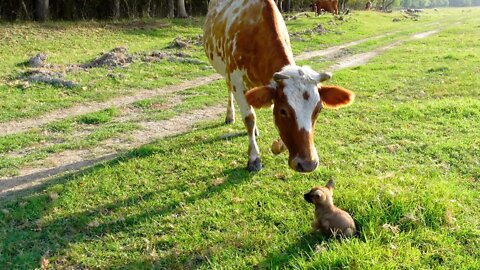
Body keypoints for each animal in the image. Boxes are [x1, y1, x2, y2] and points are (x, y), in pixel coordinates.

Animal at [202, 0, 352, 172]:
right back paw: (230, 116)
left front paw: (279, 146)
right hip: (225, 71)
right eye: (283, 111)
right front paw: (254, 158)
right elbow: (249, 118)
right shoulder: (236, 81)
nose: (308, 164)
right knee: (229, 91)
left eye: (319, 109)